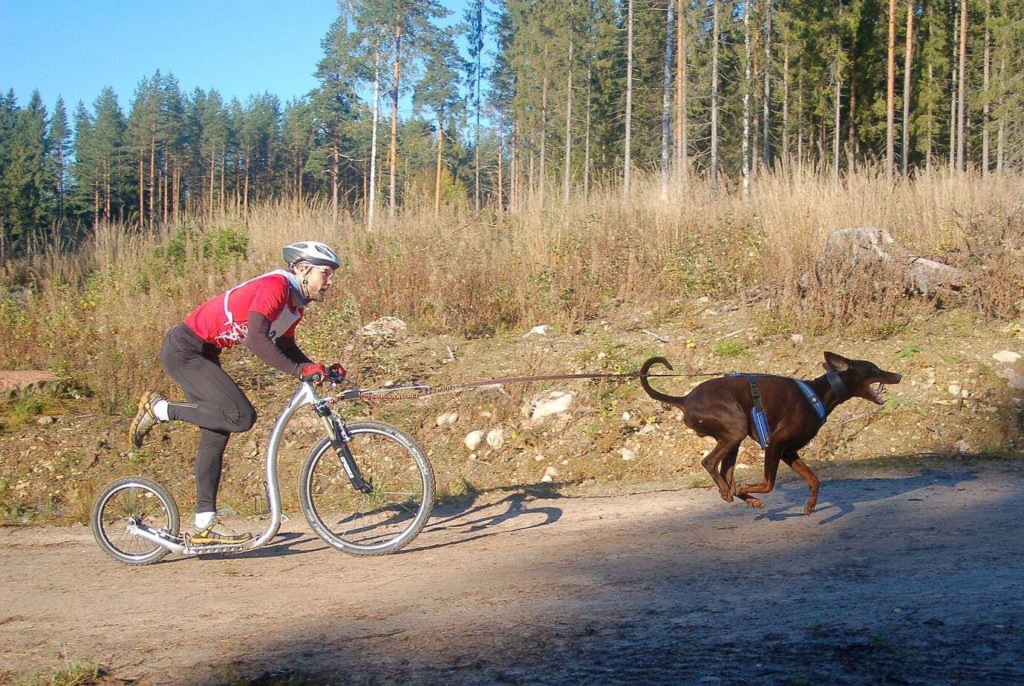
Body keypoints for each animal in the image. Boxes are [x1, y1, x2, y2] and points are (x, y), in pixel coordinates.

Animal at [643, 354, 901, 516]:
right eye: (874, 368)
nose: (898, 375)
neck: (818, 394)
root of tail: (684, 399)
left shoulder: (788, 451)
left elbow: (814, 479)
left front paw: (810, 505)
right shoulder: (774, 443)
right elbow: (768, 484)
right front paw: (746, 489)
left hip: (733, 438)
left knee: (726, 474)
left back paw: (746, 498)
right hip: (736, 428)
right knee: (710, 463)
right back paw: (730, 492)